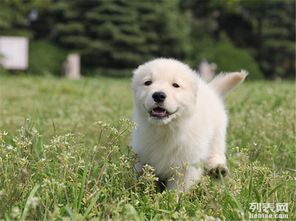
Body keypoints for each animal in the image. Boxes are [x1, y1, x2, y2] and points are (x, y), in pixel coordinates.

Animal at [131, 57, 246, 191]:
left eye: (176, 85)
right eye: (148, 82)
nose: (158, 95)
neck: (166, 129)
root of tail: (210, 89)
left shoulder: (186, 164)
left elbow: (179, 187)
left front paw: (172, 197)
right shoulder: (142, 156)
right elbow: (144, 176)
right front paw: (142, 190)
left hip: (217, 133)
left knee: (216, 150)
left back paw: (217, 169)